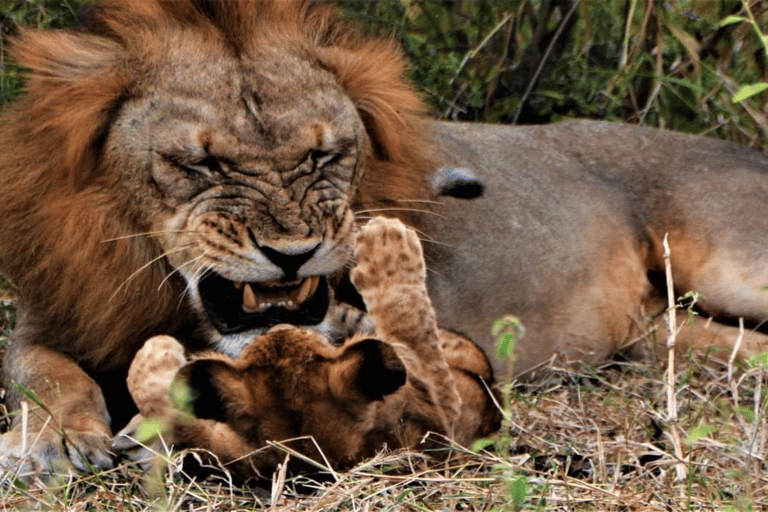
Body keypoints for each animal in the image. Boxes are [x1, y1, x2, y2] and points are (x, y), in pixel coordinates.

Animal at [0, 0, 764, 476]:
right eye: (202, 164)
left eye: (321, 156)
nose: (292, 253)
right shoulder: (51, 320)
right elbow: (46, 375)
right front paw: (56, 441)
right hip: (664, 333)